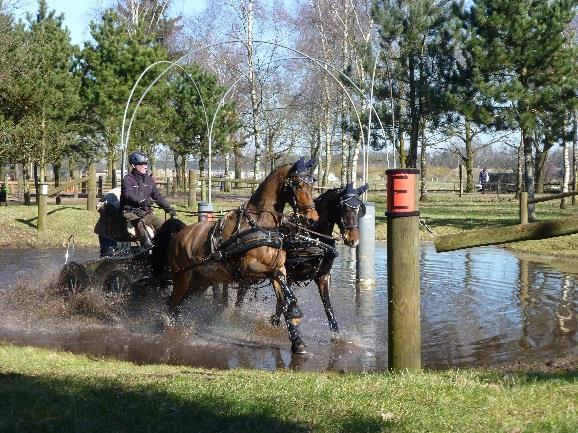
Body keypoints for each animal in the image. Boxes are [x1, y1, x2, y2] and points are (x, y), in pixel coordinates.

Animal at [164, 157, 320, 352]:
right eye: (298, 184)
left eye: (312, 184)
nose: (313, 219)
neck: (261, 225)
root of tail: (178, 235)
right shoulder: (249, 269)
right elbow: (278, 282)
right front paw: (295, 310)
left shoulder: (279, 268)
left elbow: (282, 298)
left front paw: (297, 340)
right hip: (182, 279)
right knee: (172, 303)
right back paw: (169, 329)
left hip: (200, 282)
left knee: (181, 303)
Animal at [236, 182, 366, 338]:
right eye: (345, 208)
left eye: (361, 210)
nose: (354, 240)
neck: (312, 237)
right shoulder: (288, 276)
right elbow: (282, 303)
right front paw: (278, 322)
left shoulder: (323, 276)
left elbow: (328, 308)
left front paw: (336, 335)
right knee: (240, 294)